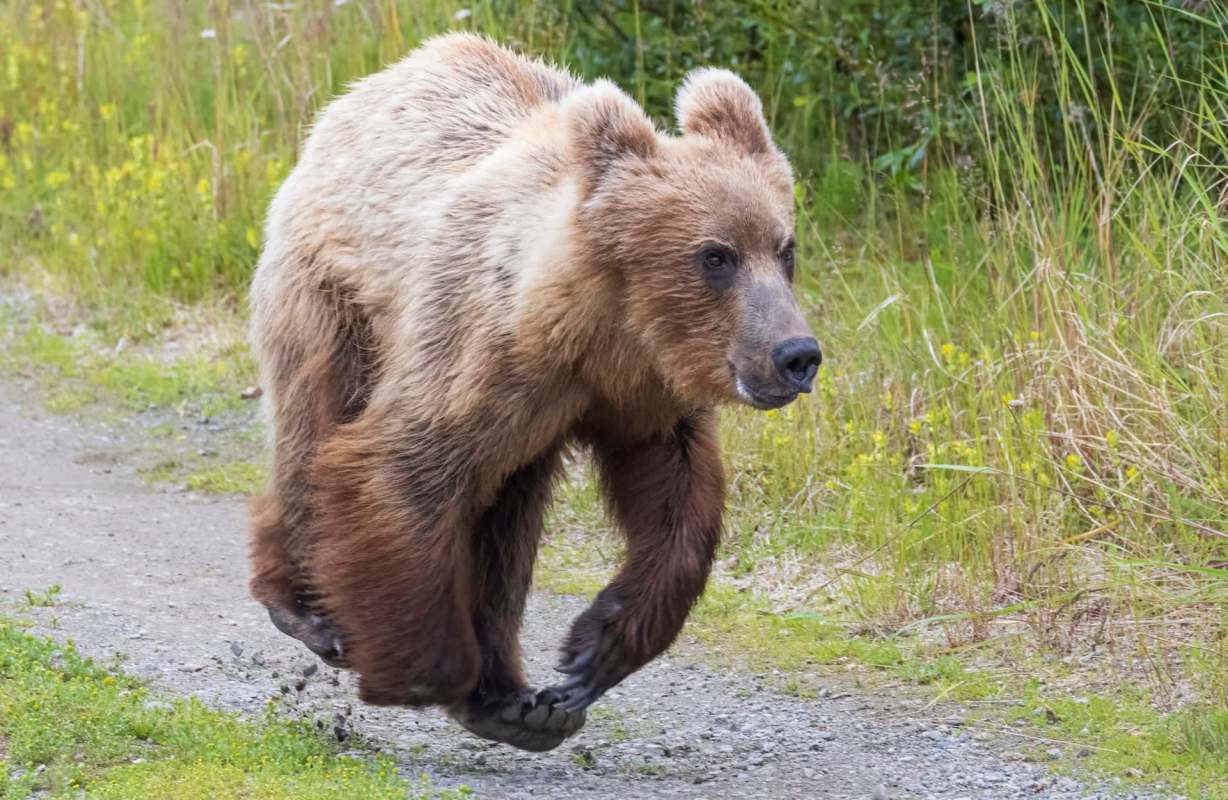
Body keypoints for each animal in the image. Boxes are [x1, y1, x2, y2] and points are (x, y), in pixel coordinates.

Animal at [247, 33, 820, 752]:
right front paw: (425, 671)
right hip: (337, 298)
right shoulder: (488, 353)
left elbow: (679, 503)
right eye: (715, 255)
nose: (796, 355)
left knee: (507, 517)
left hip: (522, 430)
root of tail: (358, 96)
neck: (599, 332)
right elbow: (399, 462)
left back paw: (517, 702)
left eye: (785, 248)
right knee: (315, 424)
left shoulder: (641, 396)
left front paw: (589, 656)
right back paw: (308, 611)